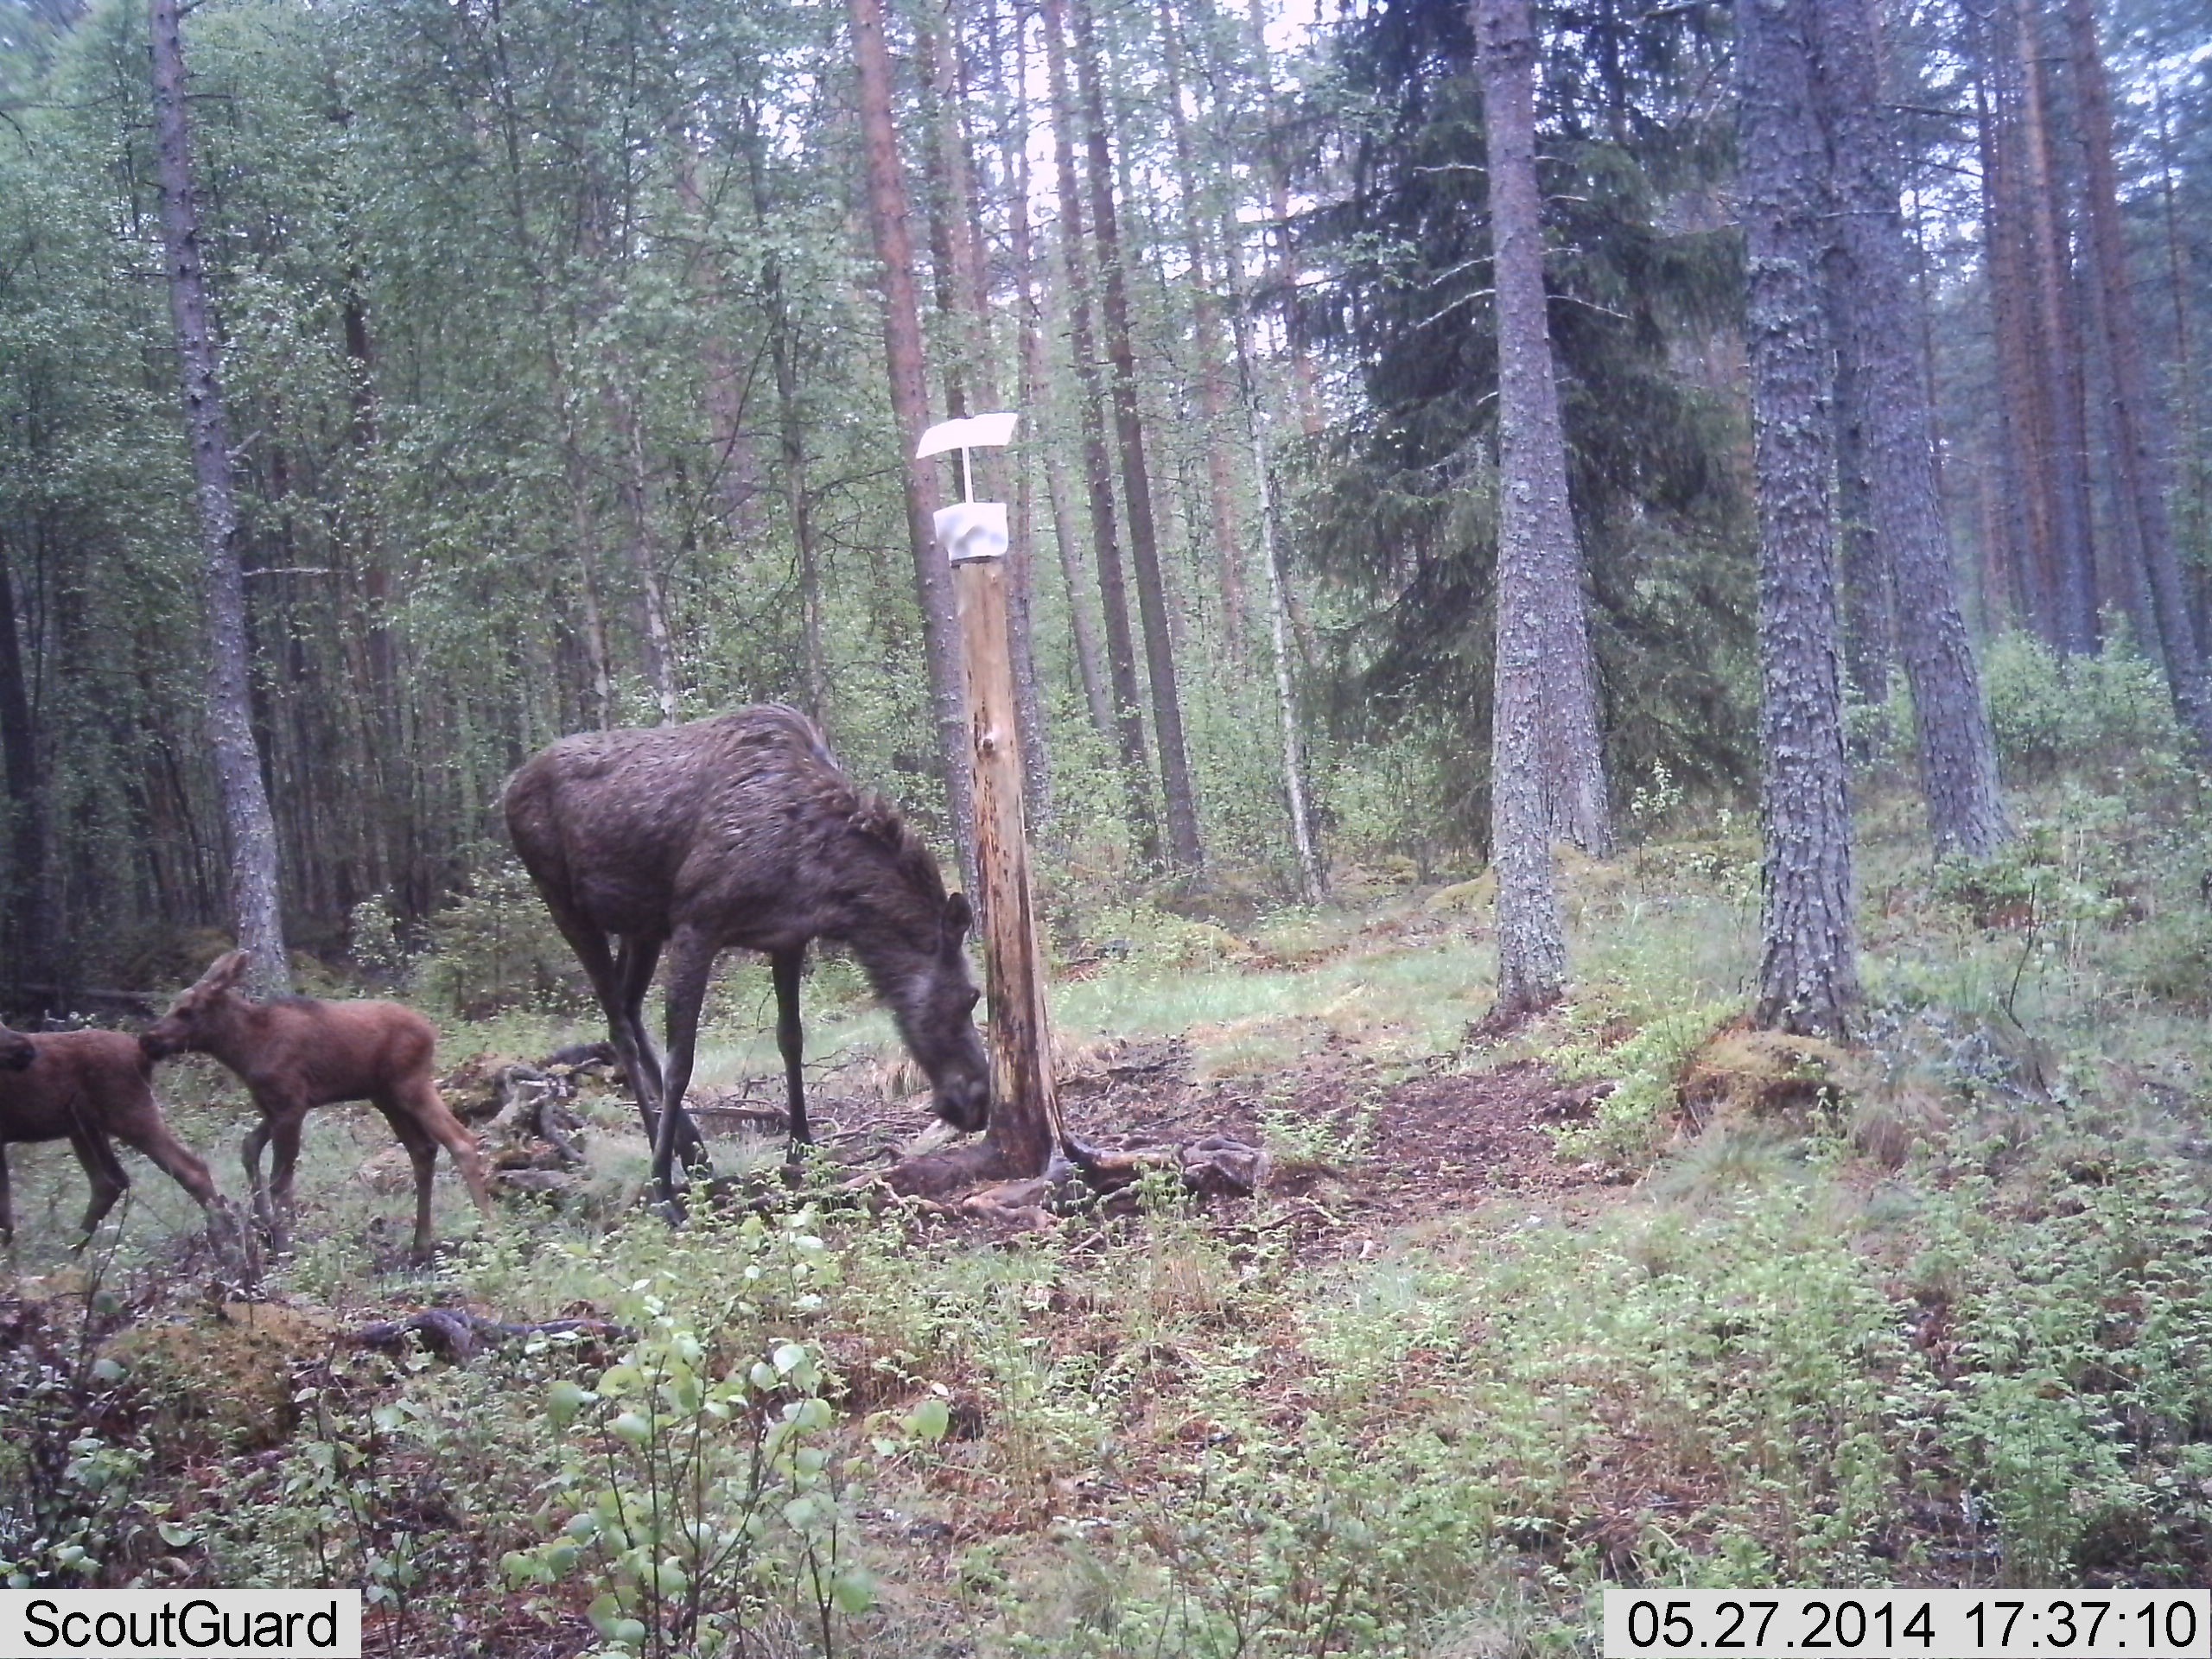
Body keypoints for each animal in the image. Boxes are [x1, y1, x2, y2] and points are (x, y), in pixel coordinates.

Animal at [0, 1020, 234, 1256]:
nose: (27, 1050)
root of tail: (142, 1054)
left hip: (126, 1112)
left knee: (190, 1168)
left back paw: (224, 1237)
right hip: (84, 1124)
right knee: (109, 1181)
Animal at [138, 954, 492, 1261]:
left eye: (186, 1010)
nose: (147, 1040)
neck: (244, 1050)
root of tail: (430, 1031)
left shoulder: (291, 1105)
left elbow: (280, 1180)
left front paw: (283, 1245)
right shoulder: (273, 1106)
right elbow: (250, 1148)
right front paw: (264, 1226)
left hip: (410, 1085)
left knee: (460, 1140)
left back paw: (487, 1228)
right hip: (386, 1096)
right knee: (423, 1149)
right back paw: (421, 1244)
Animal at [503, 705, 990, 1209]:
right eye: (971, 997)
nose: (980, 1102)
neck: (826, 881)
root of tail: (508, 789)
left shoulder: (787, 938)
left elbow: (791, 1039)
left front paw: (802, 1148)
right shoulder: (697, 925)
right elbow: (682, 1063)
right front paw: (662, 1189)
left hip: (642, 925)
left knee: (629, 1008)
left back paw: (693, 1150)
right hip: (568, 905)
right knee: (619, 1025)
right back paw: (666, 1155)